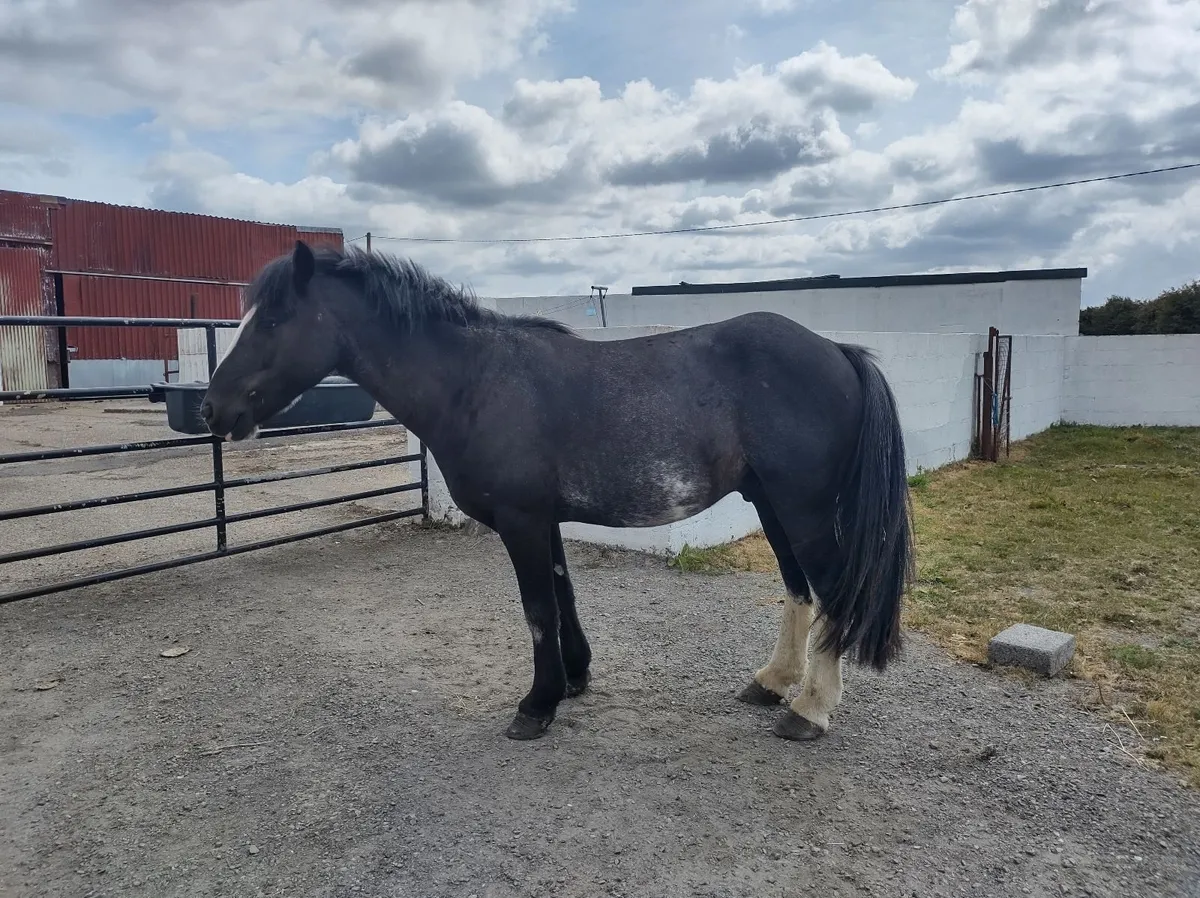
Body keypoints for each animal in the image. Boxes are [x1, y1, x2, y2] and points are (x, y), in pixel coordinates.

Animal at [202, 240, 916, 742]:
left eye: (273, 322)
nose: (212, 409)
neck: (476, 381)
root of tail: (836, 350)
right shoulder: (543, 520)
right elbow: (563, 594)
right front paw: (575, 678)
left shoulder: (521, 520)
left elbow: (538, 608)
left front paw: (537, 705)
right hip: (770, 503)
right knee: (800, 589)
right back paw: (773, 684)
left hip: (804, 508)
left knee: (834, 593)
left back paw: (811, 712)